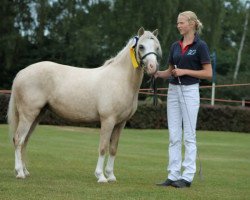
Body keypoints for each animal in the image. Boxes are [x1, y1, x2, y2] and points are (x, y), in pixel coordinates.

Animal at [7, 27, 162, 183]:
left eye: (156, 47)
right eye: (141, 47)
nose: (152, 67)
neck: (120, 80)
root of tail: (22, 73)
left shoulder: (120, 123)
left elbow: (113, 148)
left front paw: (111, 176)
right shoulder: (108, 120)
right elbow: (103, 147)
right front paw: (101, 176)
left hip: (38, 115)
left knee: (25, 140)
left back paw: (25, 171)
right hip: (28, 115)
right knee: (19, 139)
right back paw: (19, 172)